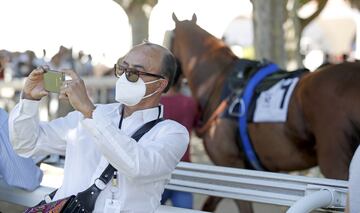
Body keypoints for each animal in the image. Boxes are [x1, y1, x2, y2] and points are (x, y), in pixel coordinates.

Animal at [169, 13, 360, 213]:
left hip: (335, 164)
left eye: (169, 39)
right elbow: (209, 203)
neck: (219, 82)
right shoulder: (231, 171)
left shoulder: (230, 163)